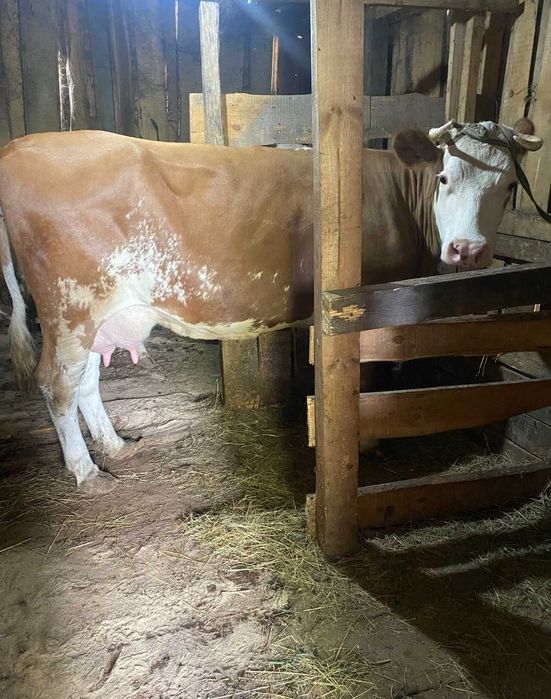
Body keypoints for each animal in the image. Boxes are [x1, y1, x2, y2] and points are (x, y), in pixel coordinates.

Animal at [0, 119, 543, 493]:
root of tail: (19, 146)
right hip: (71, 304)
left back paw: (114, 447)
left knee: (86, 381)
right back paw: (86, 472)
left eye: (506, 187)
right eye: (445, 178)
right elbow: (367, 377)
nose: (468, 250)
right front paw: (367, 442)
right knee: (57, 385)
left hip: (100, 314)